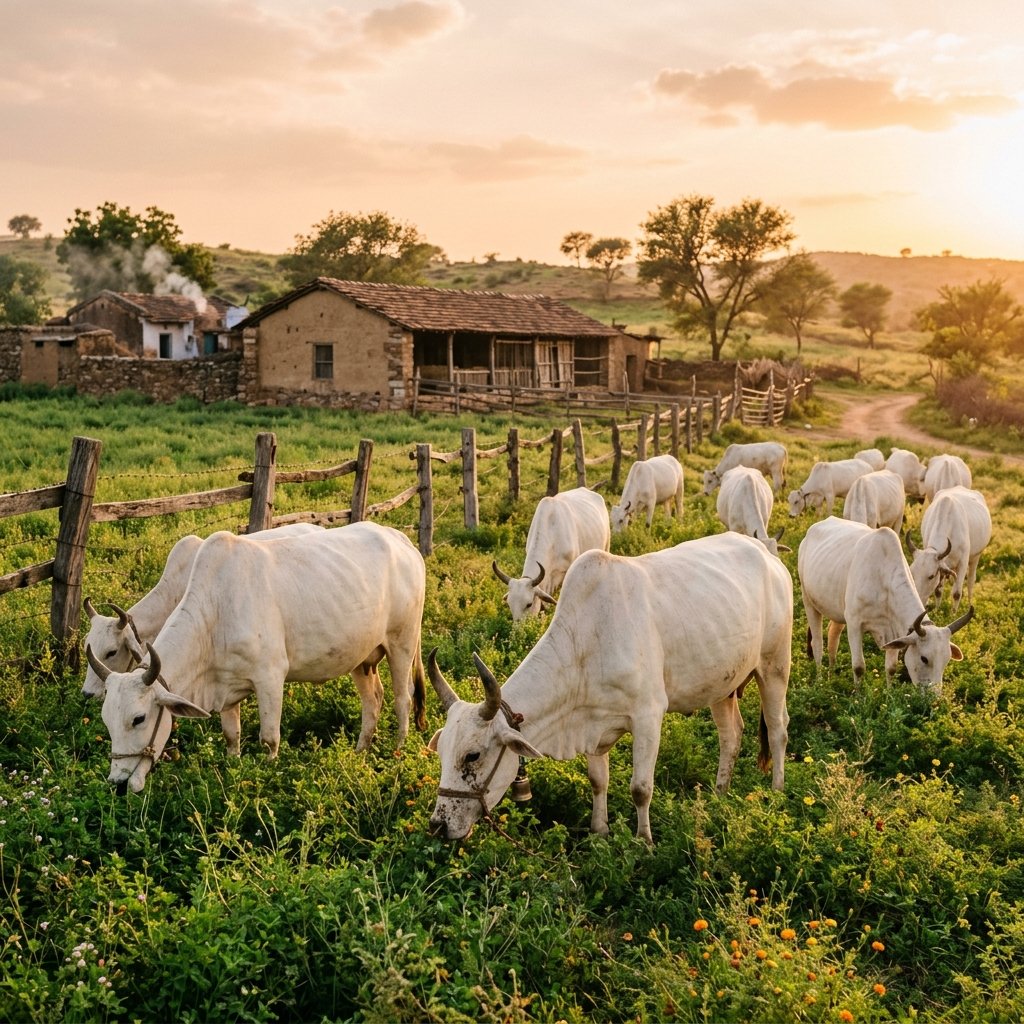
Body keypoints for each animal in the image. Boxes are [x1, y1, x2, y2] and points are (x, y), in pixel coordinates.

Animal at [426, 532, 793, 844]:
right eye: (441, 751)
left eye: (472, 756)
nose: (439, 825)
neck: (587, 641)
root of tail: (767, 553)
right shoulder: (593, 723)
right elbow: (597, 780)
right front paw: (599, 831)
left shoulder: (648, 717)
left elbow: (641, 788)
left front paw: (644, 842)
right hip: (722, 684)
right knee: (731, 735)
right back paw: (719, 793)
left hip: (775, 665)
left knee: (777, 729)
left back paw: (776, 791)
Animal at [798, 516, 974, 693]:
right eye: (924, 658)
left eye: (946, 659)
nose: (934, 696)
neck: (884, 581)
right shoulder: (854, 624)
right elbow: (858, 666)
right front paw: (858, 696)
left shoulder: (894, 631)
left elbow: (891, 668)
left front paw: (889, 694)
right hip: (809, 602)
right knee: (817, 644)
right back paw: (820, 681)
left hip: (838, 612)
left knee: (833, 637)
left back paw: (831, 677)